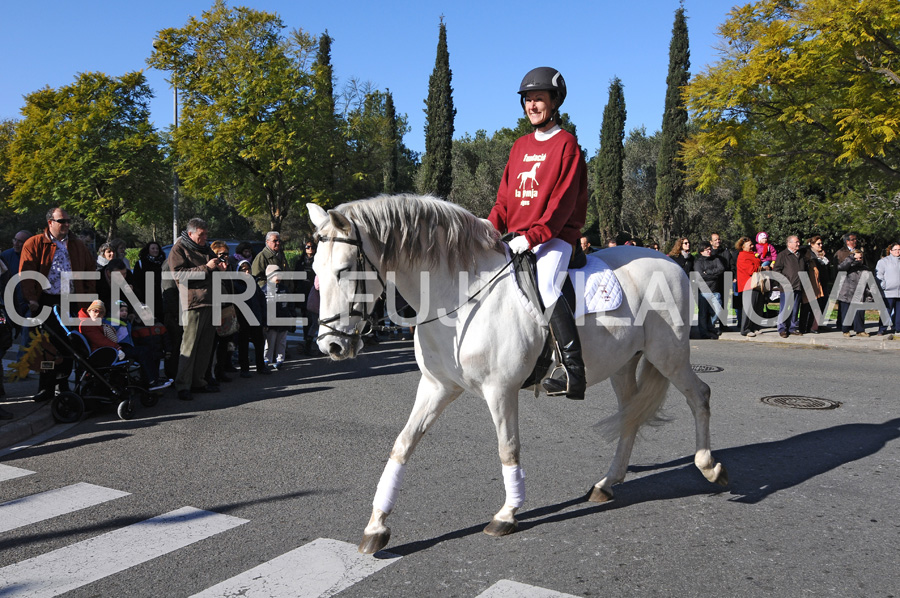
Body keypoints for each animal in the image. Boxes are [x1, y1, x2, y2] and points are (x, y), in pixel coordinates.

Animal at [306, 197, 728, 556]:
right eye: (314, 272)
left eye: (344, 270)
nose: (331, 345)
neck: (459, 298)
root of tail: (670, 261)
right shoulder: (437, 387)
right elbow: (402, 445)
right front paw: (376, 526)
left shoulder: (501, 390)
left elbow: (507, 448)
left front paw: (506, 515)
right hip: (624, 363)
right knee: (630, 417)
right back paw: (607, 484)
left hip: (669, 355)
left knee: (700, 396)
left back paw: (709, 467)